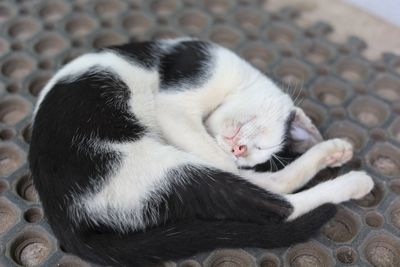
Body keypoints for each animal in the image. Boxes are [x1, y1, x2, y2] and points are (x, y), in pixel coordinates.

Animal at [28, 38, 376, 267]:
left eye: (257, 151)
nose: (238, 150)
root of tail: (66, 222)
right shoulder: (181, 94)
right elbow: (228, 164)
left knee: (269, 195)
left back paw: (336, 155)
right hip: (161, 168)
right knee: (277, 203)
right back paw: (353, 179)